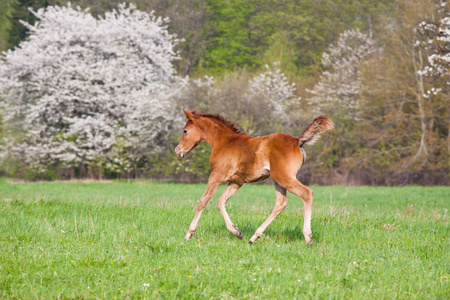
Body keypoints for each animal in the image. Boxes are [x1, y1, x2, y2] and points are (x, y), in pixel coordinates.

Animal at [174, 109, 332, 245]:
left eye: (185, 131)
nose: (178, 150)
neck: (224, 142)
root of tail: (297, 141)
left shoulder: (216, 176)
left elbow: (203, 201)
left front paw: (189, 234)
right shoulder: (236, 182)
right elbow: (220, 202)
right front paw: (237, 232)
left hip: (284, 177)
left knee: (307, 193)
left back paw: (308, 238)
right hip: (278, 180)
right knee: (281, 203)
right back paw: (254, 237)